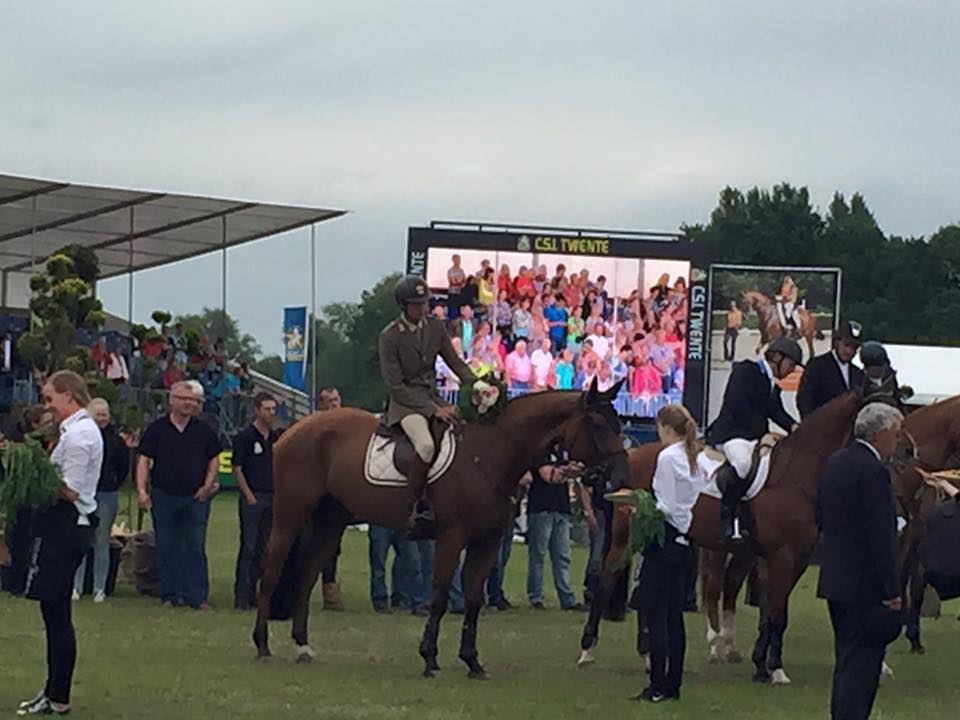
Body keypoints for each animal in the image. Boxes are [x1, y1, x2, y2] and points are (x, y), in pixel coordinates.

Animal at [253, 380, 632, 676]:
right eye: (599, 424)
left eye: (619, 424)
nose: (620, 474)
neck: (491, 453)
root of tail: (295, 429)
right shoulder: (452, 538)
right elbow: (437, 595)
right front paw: (430, 658)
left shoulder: (487, 542)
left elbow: (474, 598)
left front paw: (472, 662)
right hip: (290, 514)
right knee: (271, 571)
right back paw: (262, 645)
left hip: (331, 520)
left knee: (306, 575)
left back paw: (302, 646)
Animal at [576, 390, 876, 684]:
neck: (794, 477)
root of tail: (632, 455)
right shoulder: (781, 557)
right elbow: (777, 614)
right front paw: (774, 669)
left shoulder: (796, 560)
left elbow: (772, 612)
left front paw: (762, 665)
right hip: (627, 538)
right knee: (606, 581)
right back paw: (588, 651)